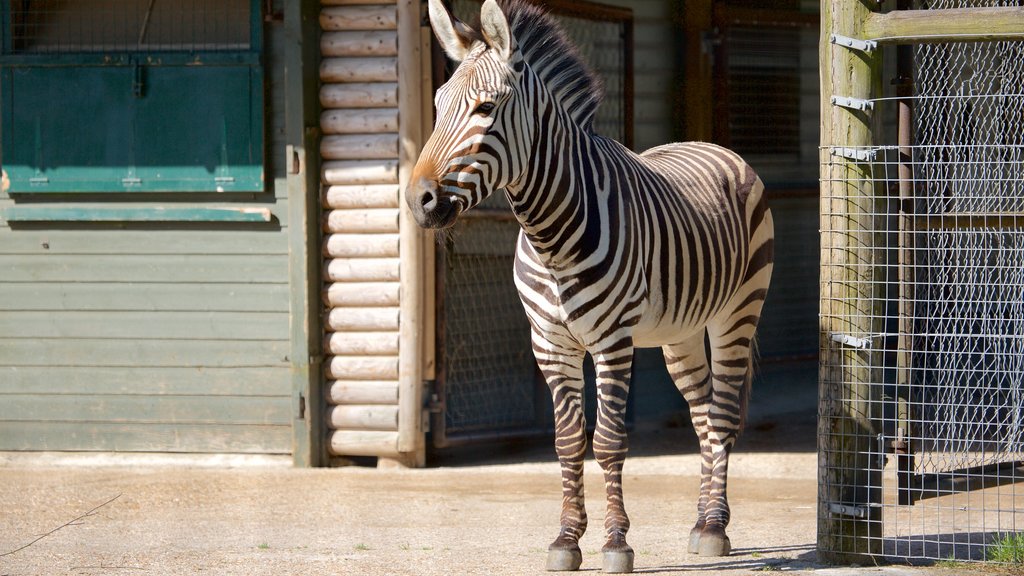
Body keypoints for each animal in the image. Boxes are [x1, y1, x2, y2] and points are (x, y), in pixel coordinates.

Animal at [403, 1, 770, 569]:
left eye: (486, 109)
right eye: (438, 106)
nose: (418, 200)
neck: (550, 236)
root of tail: (708, 143)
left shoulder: (614, 342)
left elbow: (610, 442)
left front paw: (616, 543)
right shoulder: (550, 344)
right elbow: (568, 441)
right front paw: (566, 540)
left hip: (737, 312)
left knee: (725, 414)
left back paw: (713, 528)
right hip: (681, 332)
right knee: (704, 417)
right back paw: (699, 521)